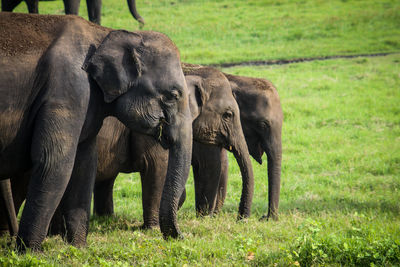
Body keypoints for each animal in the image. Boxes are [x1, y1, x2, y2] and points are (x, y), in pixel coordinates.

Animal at [0, 12, 192, 251]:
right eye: (173, 95)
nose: (182, 236)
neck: (104, 34)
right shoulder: (68, 91)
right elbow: (53, 161)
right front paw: (31, 253)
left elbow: (84, 165)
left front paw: (79, 249)